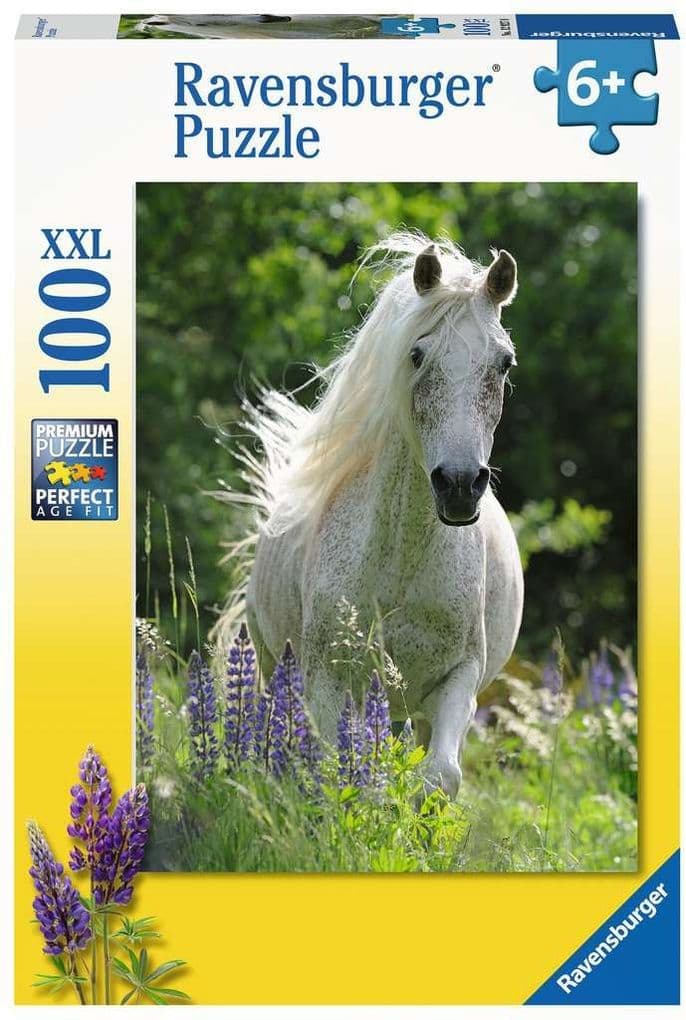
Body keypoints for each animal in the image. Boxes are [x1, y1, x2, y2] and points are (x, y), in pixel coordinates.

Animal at [223, 232, 523, 796]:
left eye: (504, 363)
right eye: (417, 354)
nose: (458, 486)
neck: (400, 565)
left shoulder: (458, 679)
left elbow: (440, 776)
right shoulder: (326, 680)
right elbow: (332, 772)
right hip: (274, 666)